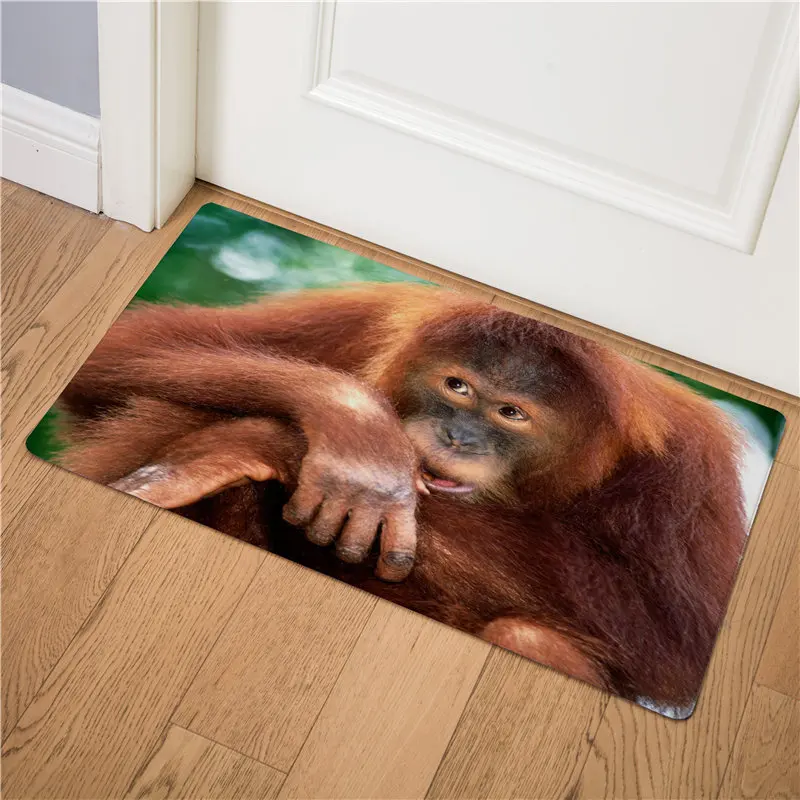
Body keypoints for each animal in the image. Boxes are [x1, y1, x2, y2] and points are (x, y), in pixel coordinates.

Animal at [53, 283, 747, 708]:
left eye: (512, 413)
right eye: (457, 386)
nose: (456, 435)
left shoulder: (690, 476)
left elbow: (666, 642)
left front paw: (269, 444)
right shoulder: (376, 312)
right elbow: (120, 351)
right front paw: (357, 434)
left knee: (529, 638)